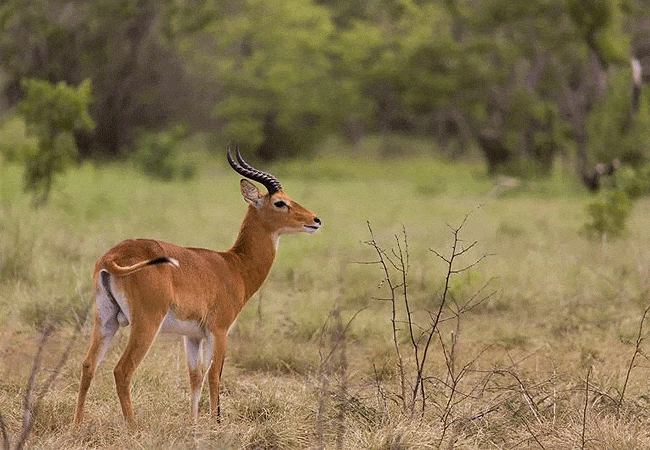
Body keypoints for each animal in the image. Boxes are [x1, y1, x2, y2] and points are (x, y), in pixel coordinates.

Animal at [72, 148, 320, 426]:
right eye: (280, 202)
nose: (316, 220)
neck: (233, 266)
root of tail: (113, 257)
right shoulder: (219, 331)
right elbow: (214, 375)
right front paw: (216, 423)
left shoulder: (192, 337)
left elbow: (195, 377)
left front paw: (194, 424)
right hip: (146, 324)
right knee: (122, 371)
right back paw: (134, 427)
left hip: (106, 320)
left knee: (88, 365)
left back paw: (77, 425)